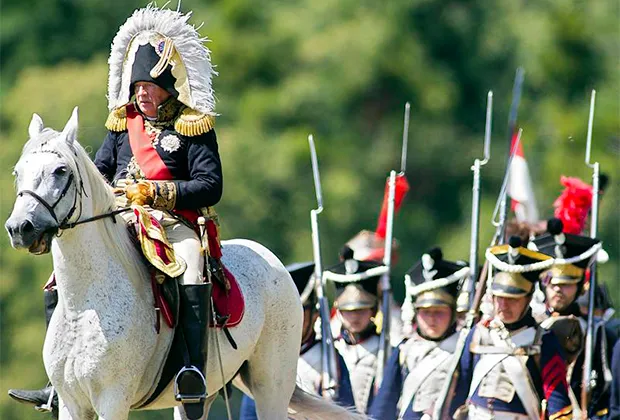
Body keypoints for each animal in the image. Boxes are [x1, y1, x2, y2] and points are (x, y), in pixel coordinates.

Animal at [4, 108, 366, 420]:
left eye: (60, 170)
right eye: (18, 171)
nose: (20, 228)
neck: (86, 305)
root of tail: (270, 259)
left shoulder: (112, 400)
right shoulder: (72, 404)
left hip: (271, 383)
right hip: (202, 396)